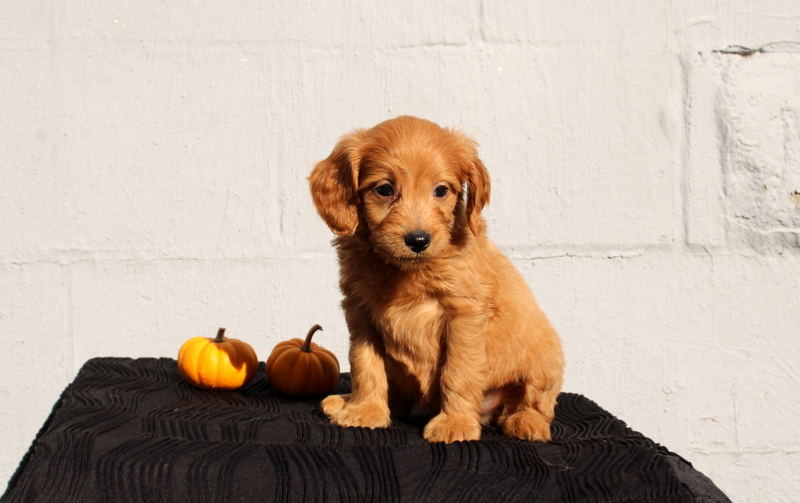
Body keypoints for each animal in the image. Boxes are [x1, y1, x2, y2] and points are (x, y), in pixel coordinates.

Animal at [306, 116, 564, 442]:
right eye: (385, 189)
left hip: (546, 360)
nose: (418, 240)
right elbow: (365, 364)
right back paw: (348, 401)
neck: (405, 271)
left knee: (535, 402)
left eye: (441, 191)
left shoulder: (464, 314)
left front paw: (455, 423)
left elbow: (458, 371)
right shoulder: (360, 311)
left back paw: (525, 421)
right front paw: (365, 410)